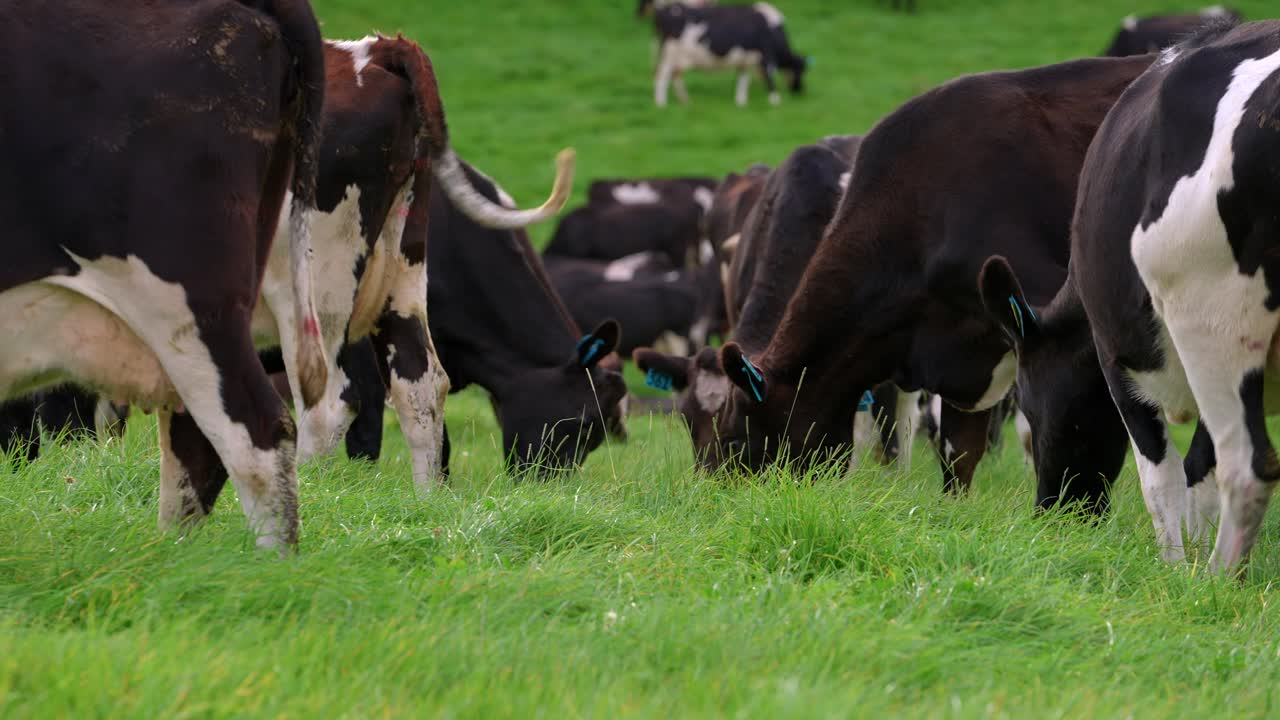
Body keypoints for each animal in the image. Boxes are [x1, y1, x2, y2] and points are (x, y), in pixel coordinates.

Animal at [653, 2, 808, 107]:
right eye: (800, 71)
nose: (800, 91)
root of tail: (664, 9)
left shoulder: (745, 59)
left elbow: (743, 80)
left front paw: (741, 102)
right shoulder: (766, 55)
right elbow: (770, 78)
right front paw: (775, 101)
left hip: (678, 58)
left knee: (676, 77)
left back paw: (685, 101)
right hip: (669, 55)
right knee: (662, 77)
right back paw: (661, 104)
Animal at [978, 19, 1280, 572]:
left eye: (1025, 405)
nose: (1051, 513)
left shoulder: (1117, 355)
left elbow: (1162, 479)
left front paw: (1176, 571)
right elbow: (1198, 470)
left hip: (1217, 323)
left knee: (1247, 469)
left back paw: (1215, 583)